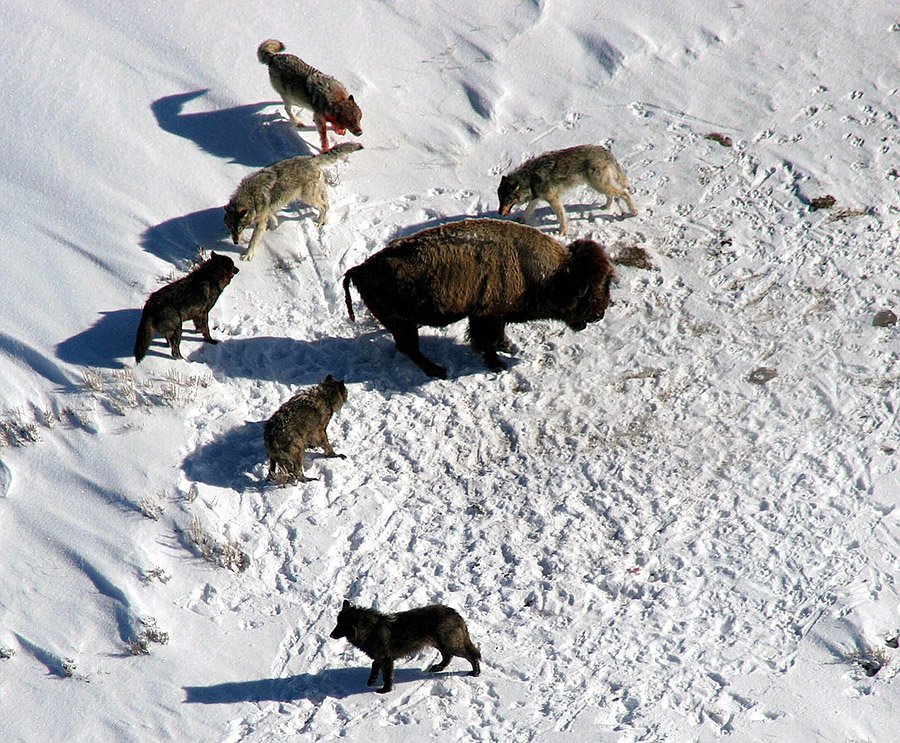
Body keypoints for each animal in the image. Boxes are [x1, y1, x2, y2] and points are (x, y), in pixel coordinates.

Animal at [224, 142, 362, 262]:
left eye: (240, 227)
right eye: (231, 227)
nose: (235, 242)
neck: (250, 197)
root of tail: (311, 159)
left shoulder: (260, 221)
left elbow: (254, 240)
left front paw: (248, 254)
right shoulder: (267, 210)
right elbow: (272, 217)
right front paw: (273, 227)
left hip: (307, 197)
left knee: (323, 206)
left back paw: (318, 222)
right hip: (315, 192)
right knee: (327, 204)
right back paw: (323, 221)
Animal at [328, 600, 482, 696]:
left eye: (341, 625)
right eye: (337, 622)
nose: (330, 635)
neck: (370, 630)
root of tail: (456, 614)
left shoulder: (386, 660)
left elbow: (387, 677)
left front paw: (385, 691)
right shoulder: (380, 658)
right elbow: (374, 667)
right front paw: (371, 682)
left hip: (450, 645)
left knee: (472, 656)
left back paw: (475, 673)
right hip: (440, 644)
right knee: (447, 656)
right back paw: (438, 667)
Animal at [342, 215, 616, 378]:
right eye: (588, 293)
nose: (599, 315)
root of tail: (360, 269)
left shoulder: (495, 316)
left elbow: (498, 336)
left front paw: (510, 347)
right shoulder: (486, 317)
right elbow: (487, 342)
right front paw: (497, 364)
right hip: (402, 324)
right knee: (410, 348)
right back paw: (438, 370)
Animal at [496, 145, 636, 235]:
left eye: (508, 200)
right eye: (500, 200)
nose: (499, 213)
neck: (530, 179)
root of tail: (606, 151)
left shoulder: (553, 199)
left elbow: (561, 216)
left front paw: (562, 232)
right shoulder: (536, 197)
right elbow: (528, 211)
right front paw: (521, 221)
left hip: (599, 185)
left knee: (625, 193)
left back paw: (633, 212)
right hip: (599, 186)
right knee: (611, 196)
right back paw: (606, 207)